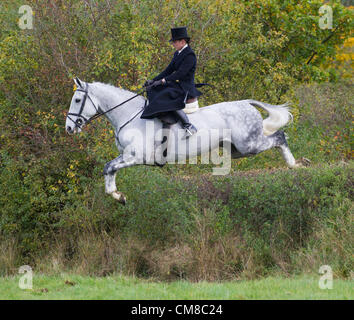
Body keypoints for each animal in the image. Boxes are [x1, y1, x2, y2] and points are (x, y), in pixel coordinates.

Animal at [65, 79, 298, 205]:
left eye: (77, 100)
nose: (69, 128)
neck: (129, 115)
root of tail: (246, 103)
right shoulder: (126, 155)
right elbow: (109, 169)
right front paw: (117, 195)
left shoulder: (135, 156)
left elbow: (109, 167)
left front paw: (117, 195)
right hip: (237, 149)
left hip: (249, 144)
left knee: (279, 137)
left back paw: (295, 164)